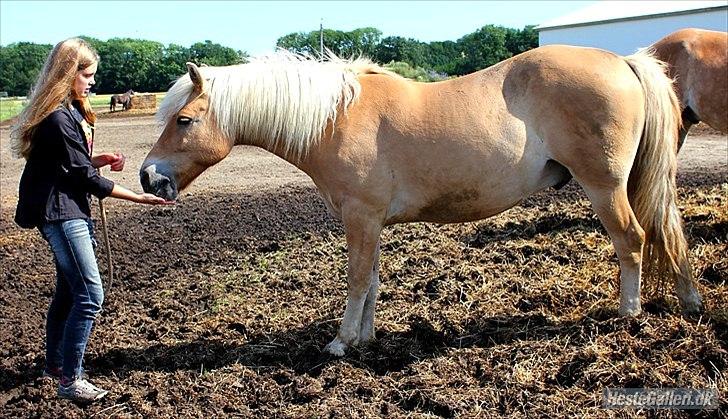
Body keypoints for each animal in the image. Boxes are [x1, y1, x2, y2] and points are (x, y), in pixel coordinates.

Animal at [139, 49, 704, 358]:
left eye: (183, 120)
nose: (148, 176)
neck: (335, 118)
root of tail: (622, 62)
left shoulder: (360, 216)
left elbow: (357, 280)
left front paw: (341, 343)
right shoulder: (372, 221)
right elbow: (373, 282)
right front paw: (366, 340)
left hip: (604, 186)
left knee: (632, 240)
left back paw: (628, 313)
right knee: (662, 232)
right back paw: (690, 301)